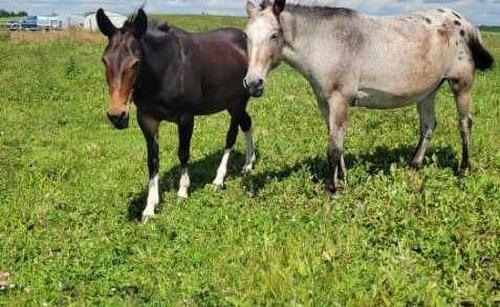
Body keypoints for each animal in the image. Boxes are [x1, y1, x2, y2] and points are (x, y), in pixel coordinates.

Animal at [97, 7, 256, 224]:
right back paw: (249, 163)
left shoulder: (186, 117)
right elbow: (153, 161)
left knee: (232, 135)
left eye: (135, 63)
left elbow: (183, 153)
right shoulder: (147, 119)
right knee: (247, 123)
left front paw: (182, 192)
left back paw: (219, 179)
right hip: (232, 104)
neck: (165, 70)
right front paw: (149, 208)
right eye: (105, 60)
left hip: (237, 102)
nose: (117, 115)